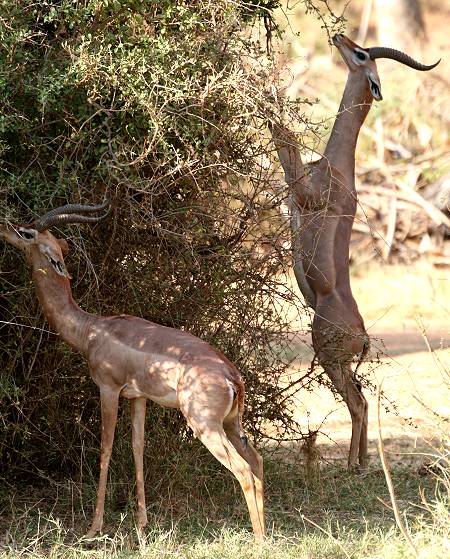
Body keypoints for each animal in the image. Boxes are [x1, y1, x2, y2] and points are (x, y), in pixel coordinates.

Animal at [0, 203, 266, 540]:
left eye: (27, 233)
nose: (3, 226)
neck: (90, 330)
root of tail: (232, 377)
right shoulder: (138, 398)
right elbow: (137, 449)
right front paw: (142, 524)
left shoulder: (108, 390)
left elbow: (105, 449)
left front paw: (93, 529)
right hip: (232, 424)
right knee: (257, 462)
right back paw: (266, 534)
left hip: (205, 426)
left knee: (244, 471)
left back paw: (258, 540)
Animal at [270, 35, 440, 470]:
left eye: (362, 54)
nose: (338, 37)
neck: (337, 165)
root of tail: (361, 336)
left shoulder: (305, 194)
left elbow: (284, 138)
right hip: (344, 364)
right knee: (362, 397)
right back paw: (362, 463)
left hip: (329, 357)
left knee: (358, 404)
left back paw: (351, 465)